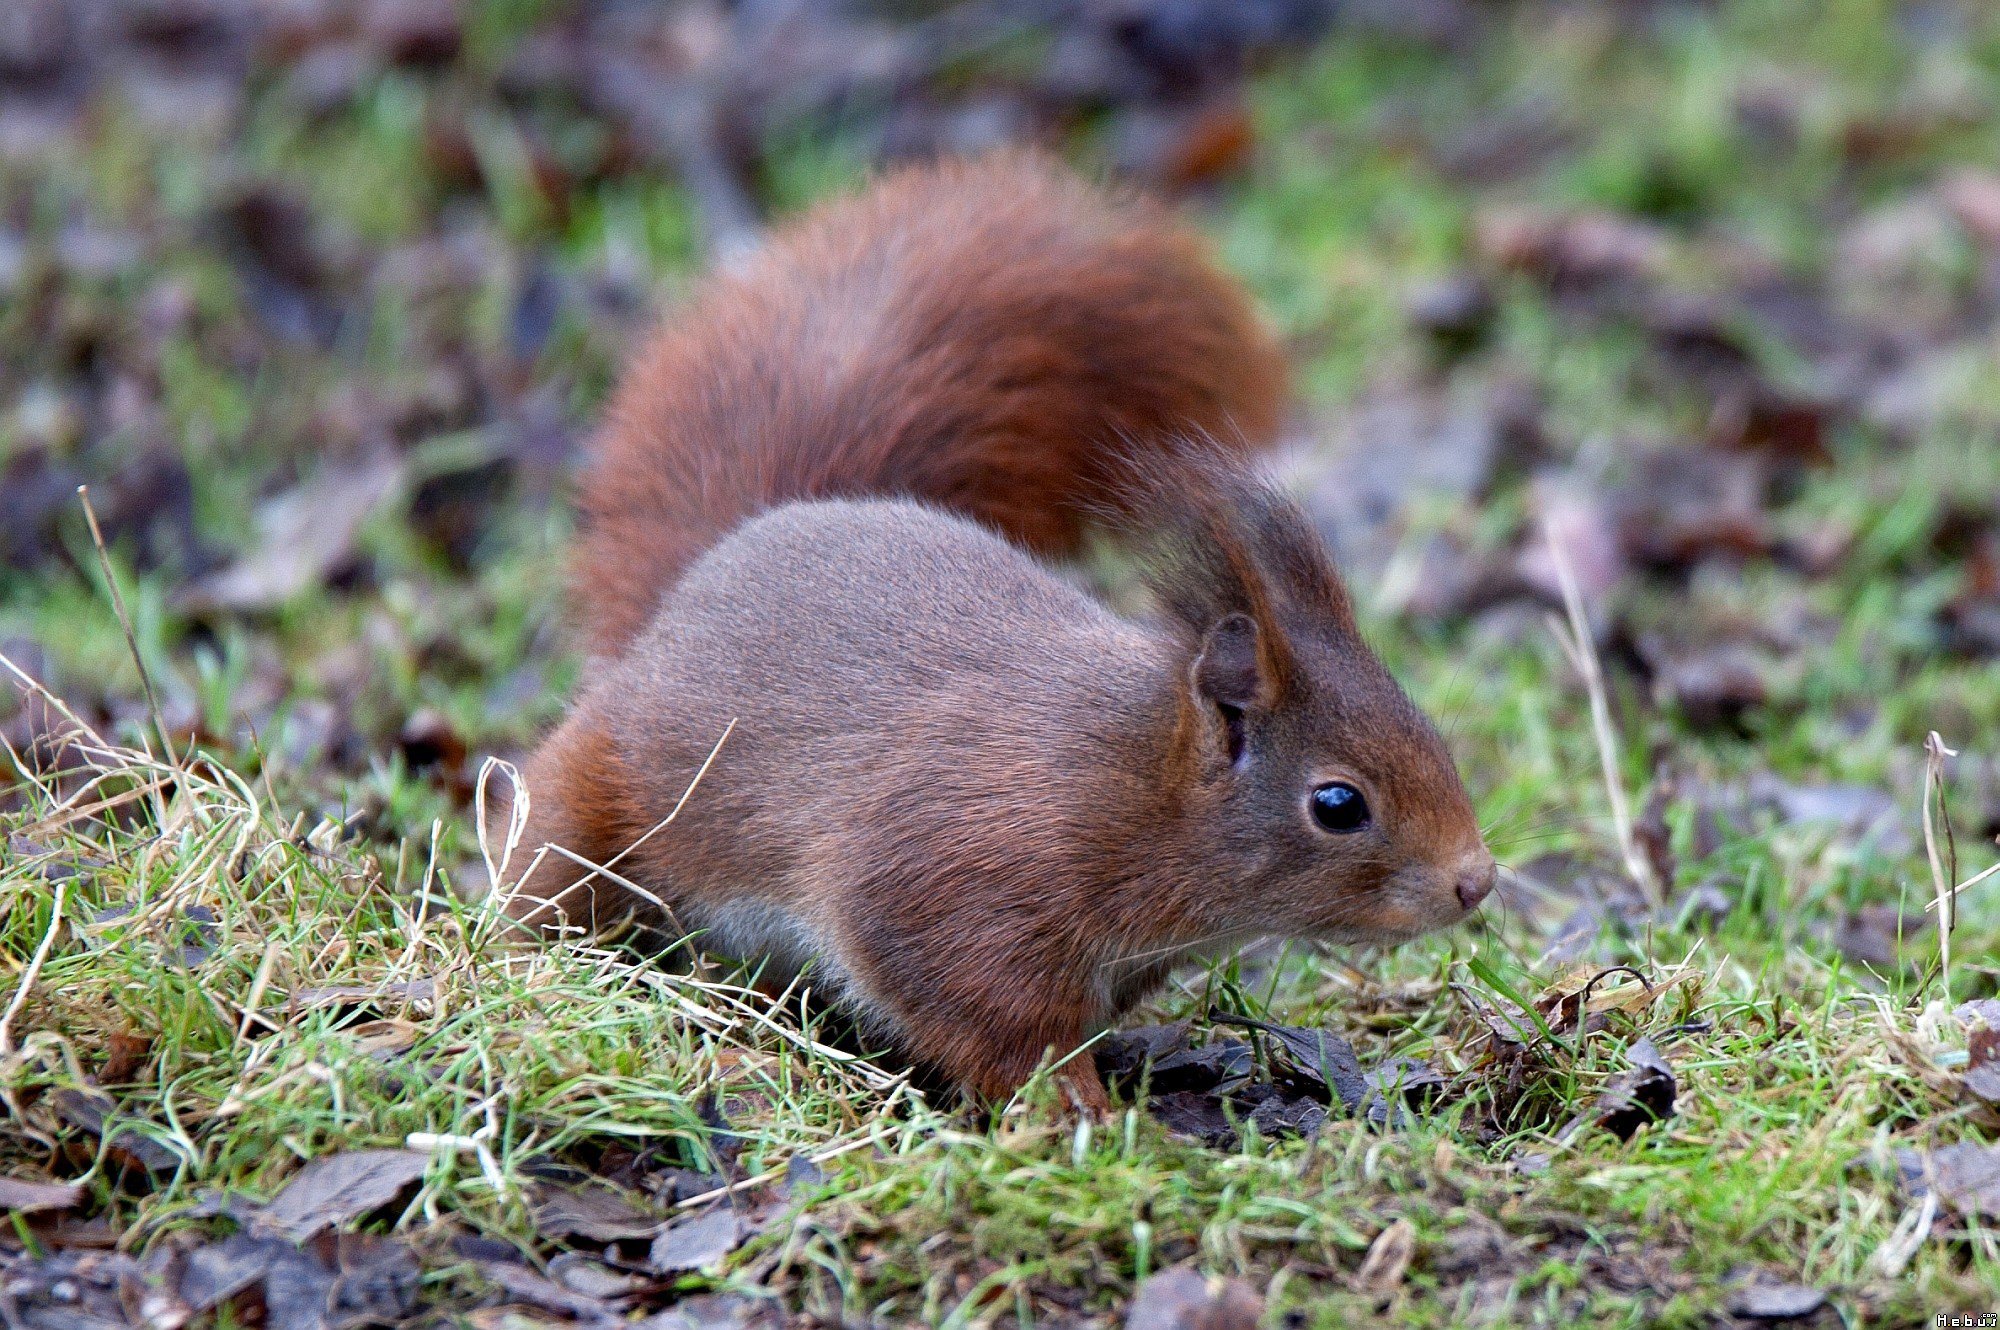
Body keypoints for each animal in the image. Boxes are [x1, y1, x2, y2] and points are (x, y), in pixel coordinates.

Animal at [496, 150, 1504, 1112]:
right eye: (1338, 804)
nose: (1476, 881)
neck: (1133, 786)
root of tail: (698, 578)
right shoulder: (958, 876)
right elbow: (986, 1017)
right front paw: (1071, 1108)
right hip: (610, 794)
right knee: (552, 864)